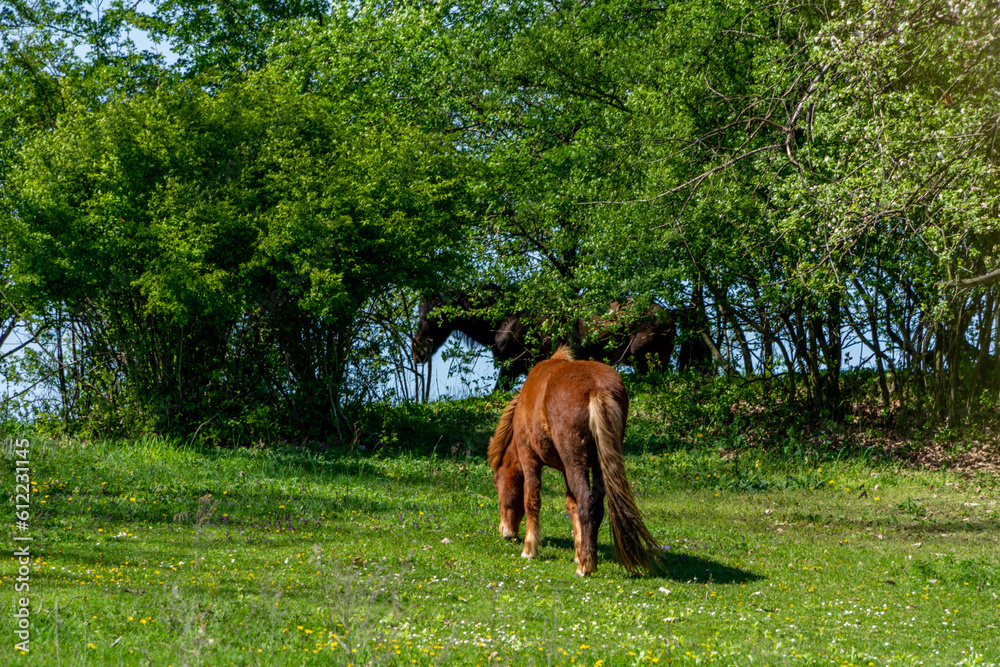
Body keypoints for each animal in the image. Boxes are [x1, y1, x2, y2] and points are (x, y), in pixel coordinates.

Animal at [488, 346, 660, 576]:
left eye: (497, 483)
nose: (505, 531)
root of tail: (596, 388)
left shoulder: (528, 456)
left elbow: (531, 500)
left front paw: (529, 549)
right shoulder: (565, 469)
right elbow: (572, 506)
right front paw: (578, 550)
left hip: (575, 463)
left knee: (587, 502)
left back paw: (585, 566)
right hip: (594, 465)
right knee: (595, 506)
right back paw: (586, 557)